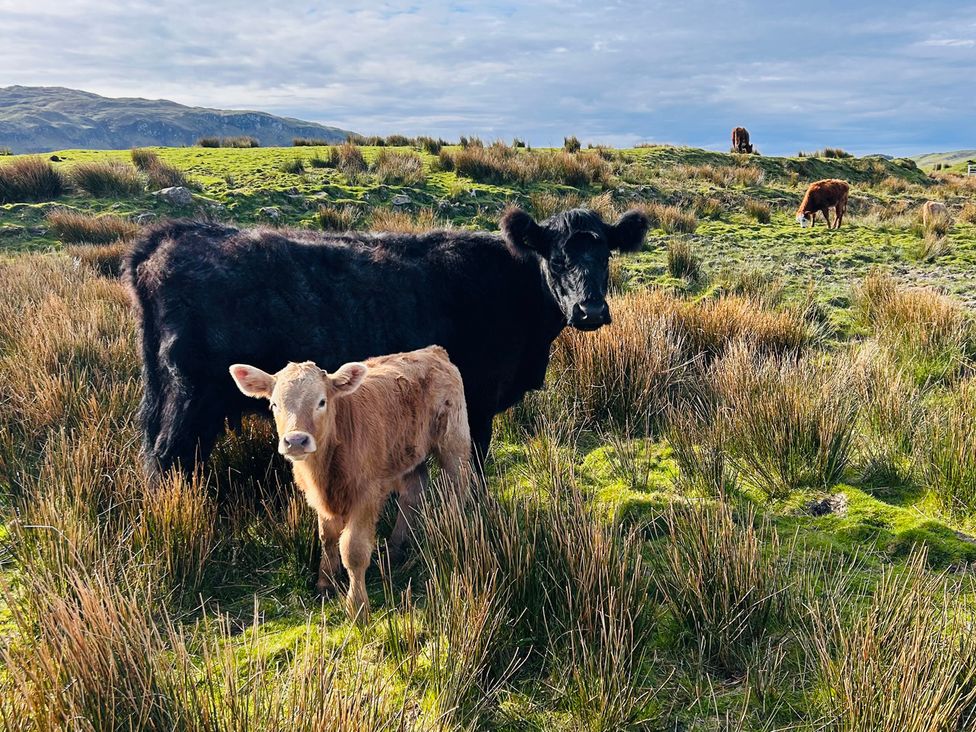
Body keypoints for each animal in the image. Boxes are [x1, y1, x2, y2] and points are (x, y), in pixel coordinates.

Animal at [124, 207, 649, 478]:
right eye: (557, 259)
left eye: (606, 254)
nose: (590, 311)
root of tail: (170, 236)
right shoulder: (476, 401)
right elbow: (473, 468)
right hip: (189, 398)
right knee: (166, 459)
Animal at [229, 346, 471, 616]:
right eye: (274, 404)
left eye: (321, 402)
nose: (296, 441)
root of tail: (432, 351)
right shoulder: (319, 499)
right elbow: (327, 537)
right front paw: (325, 583)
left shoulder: (367, 495)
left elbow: (353, 549)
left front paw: (357, 606)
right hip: (407, 451)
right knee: (413, 491)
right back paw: (395, 548)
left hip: (453, 441)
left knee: (458, 486)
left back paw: (454, 529)